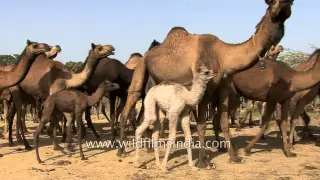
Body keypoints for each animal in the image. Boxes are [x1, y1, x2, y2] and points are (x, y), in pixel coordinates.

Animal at [117, 0, 292, 167]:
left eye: (291, 2)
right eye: (271, 2)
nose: (285, 2)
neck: (223, 56)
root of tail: (146, 55)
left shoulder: (224, 87)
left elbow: (223, 122)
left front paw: (234, 157)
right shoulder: (204, 89)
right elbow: (201, 124)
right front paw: (202, 161)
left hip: (156, 84)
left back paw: (149, 148)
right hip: (141, 69)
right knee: (129, 103)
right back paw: (121, 151)